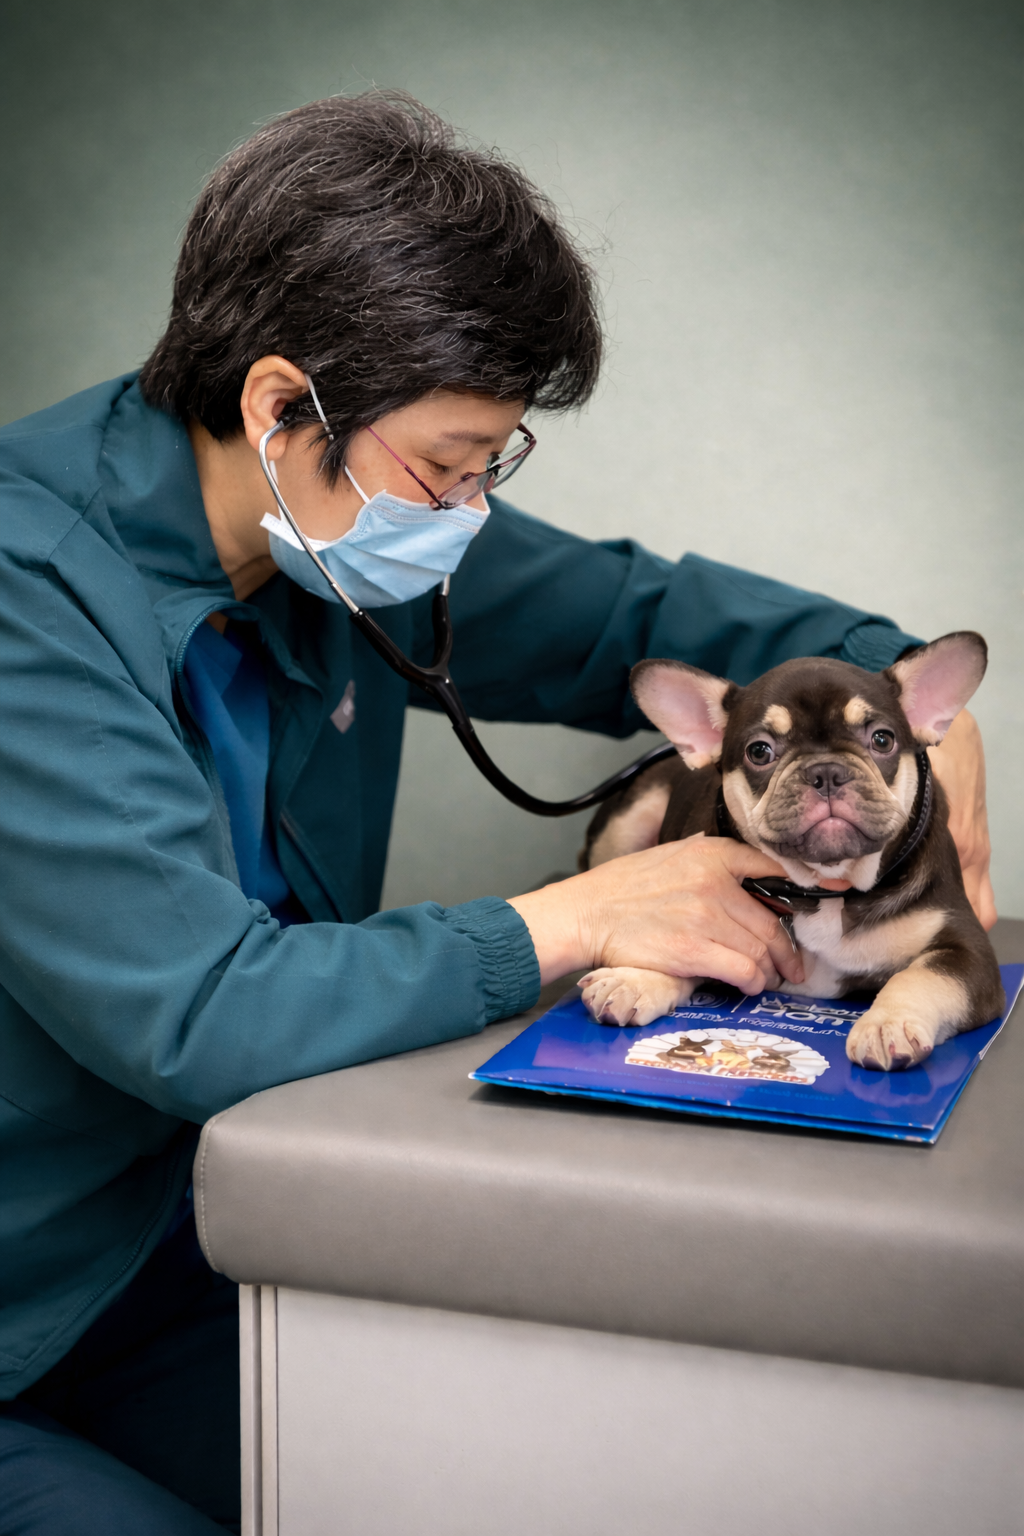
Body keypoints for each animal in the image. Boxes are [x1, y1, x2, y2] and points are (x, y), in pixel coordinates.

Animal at [578, 633, 1003, 1072]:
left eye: (882, 740)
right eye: (759, 752)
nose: (826, 771)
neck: (825, 886)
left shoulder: (967, 952)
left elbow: (923, 975)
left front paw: (888, 1023)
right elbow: (679, 943)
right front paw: (634, 977)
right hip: (629, 818)